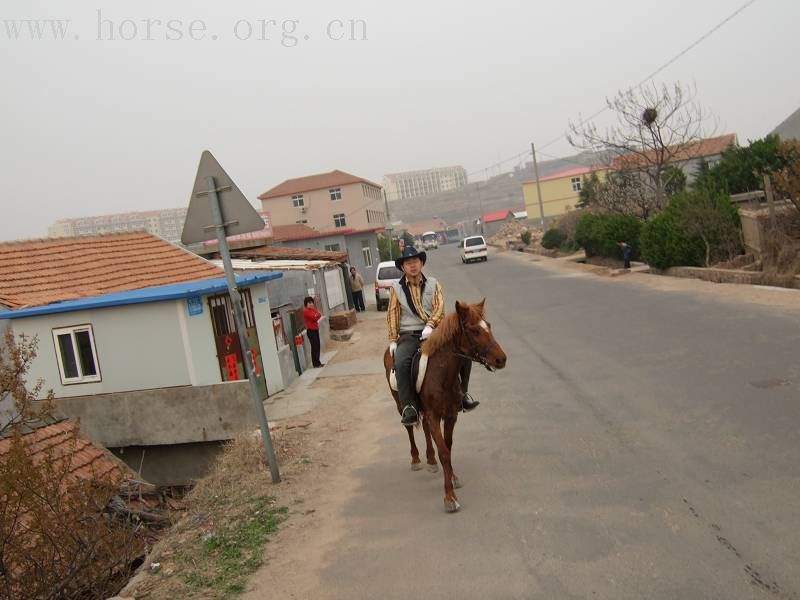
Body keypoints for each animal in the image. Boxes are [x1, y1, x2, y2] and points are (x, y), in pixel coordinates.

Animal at [382, 298, 506, 510]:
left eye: (488, 326)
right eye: (475, 331)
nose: (501, 359)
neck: (441, 375)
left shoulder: (450, 416)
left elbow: (448, 447)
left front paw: (453, 477)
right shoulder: (434, 416)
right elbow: (444, 453)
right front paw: (449, 497)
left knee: (424, 428)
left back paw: (431, 460)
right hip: (400, 404)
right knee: (409, 428)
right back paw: (416, 458)